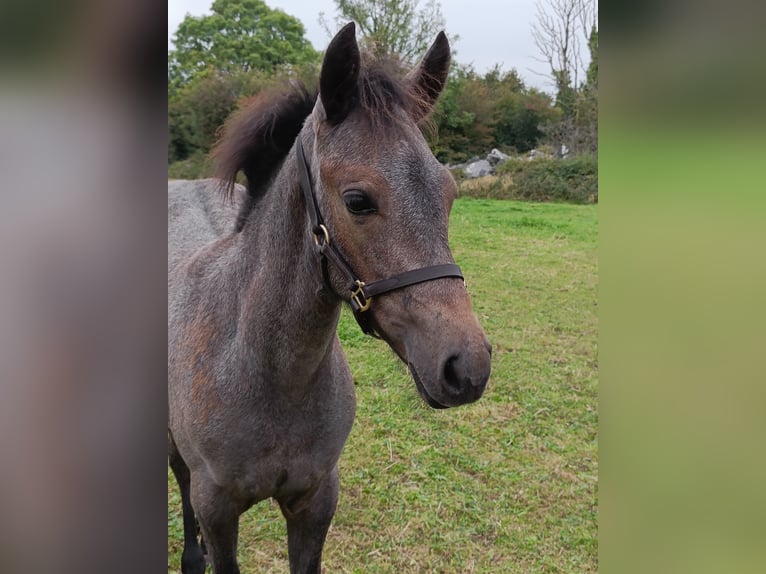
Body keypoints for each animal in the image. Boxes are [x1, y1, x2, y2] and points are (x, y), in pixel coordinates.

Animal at [168, 23, 492, 574]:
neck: (268, 376)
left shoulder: (316, 500)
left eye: (449, 194)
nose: (467, 367)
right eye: (357, 201)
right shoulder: (217, 508)